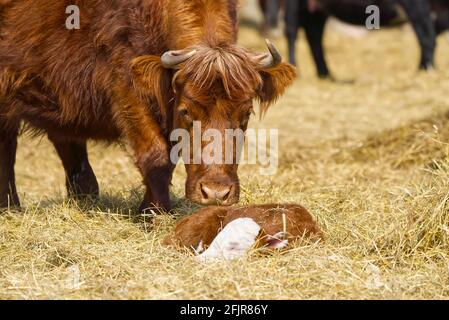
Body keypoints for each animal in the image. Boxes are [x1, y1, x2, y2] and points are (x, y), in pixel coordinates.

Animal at [0, 0, 296, 212]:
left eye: (245, 113)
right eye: (186, 111)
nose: (215, 193)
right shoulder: (127, 90)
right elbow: (157, 155)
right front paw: (155, 212)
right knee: (9, 144)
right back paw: (10, 205)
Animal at [276, 0, 448, 77]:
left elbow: (428, 37)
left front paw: (425, 68)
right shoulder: (417, 5)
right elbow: (427, 37)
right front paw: (425, 70)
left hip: (318, 9)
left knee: (314, 35)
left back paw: (326, 75)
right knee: (292, 31)